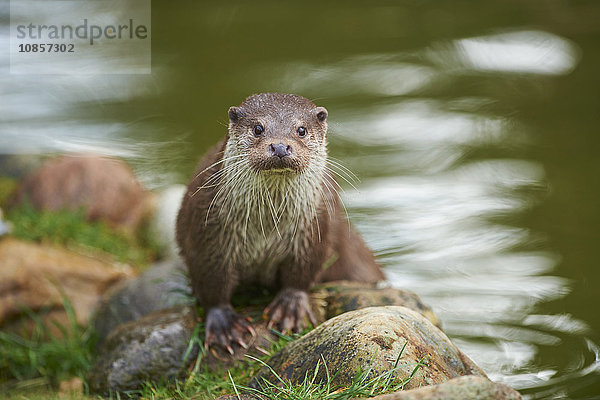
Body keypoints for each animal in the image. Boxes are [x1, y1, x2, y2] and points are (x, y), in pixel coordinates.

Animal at [177, 93, 384, 354]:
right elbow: (211, 280)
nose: (279, 146)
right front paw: (224, 324)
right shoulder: (207, 233)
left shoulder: (313, 229)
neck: (265, 227)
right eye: (258, 128)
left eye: (301, 130)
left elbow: (301, 272)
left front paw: (291, 308)